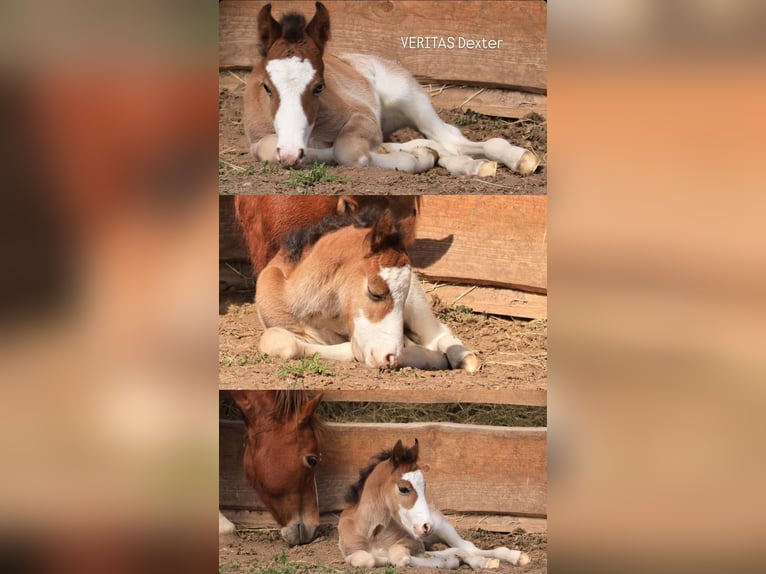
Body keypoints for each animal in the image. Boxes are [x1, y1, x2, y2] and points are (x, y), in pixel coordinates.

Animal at [244, 2, 539, 177]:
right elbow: (269, 150)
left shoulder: (363, 117)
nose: (291, 151)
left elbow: (348, 151)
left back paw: (516, 158)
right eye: (267, 87)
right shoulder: (262, 141)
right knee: (441, 145)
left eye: (319, 87)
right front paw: (421, 154)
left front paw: (418, 158)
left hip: (410, 98)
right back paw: (469, 164)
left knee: (451, 138)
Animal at [255, 208, 479, 371]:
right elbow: (279, 340)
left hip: (418, 305)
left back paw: (464, 358)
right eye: (375, 292)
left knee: (438, 332)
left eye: (403, 295)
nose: (389, 357)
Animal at [338, 439, 531, 569]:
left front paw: (450, 560)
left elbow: (400, 557)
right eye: (403, 488)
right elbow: (367, 559)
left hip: (443, 528)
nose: (426, 526)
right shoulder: (350, 553)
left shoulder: (414, 543)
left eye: (424, 486)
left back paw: (510, 557)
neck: (372, 532)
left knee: (467, 547)